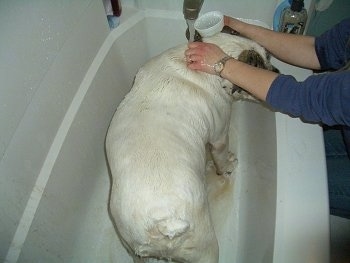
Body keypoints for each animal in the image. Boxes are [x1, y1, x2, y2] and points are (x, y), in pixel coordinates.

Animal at [105, 33, 274, 263]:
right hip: (205, 248)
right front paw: (227, 166)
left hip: (135, 249)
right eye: (259, 68)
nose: (277, 74)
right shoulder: (220, 134)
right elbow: (221, 157)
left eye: (269, 56)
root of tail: (163, 223)